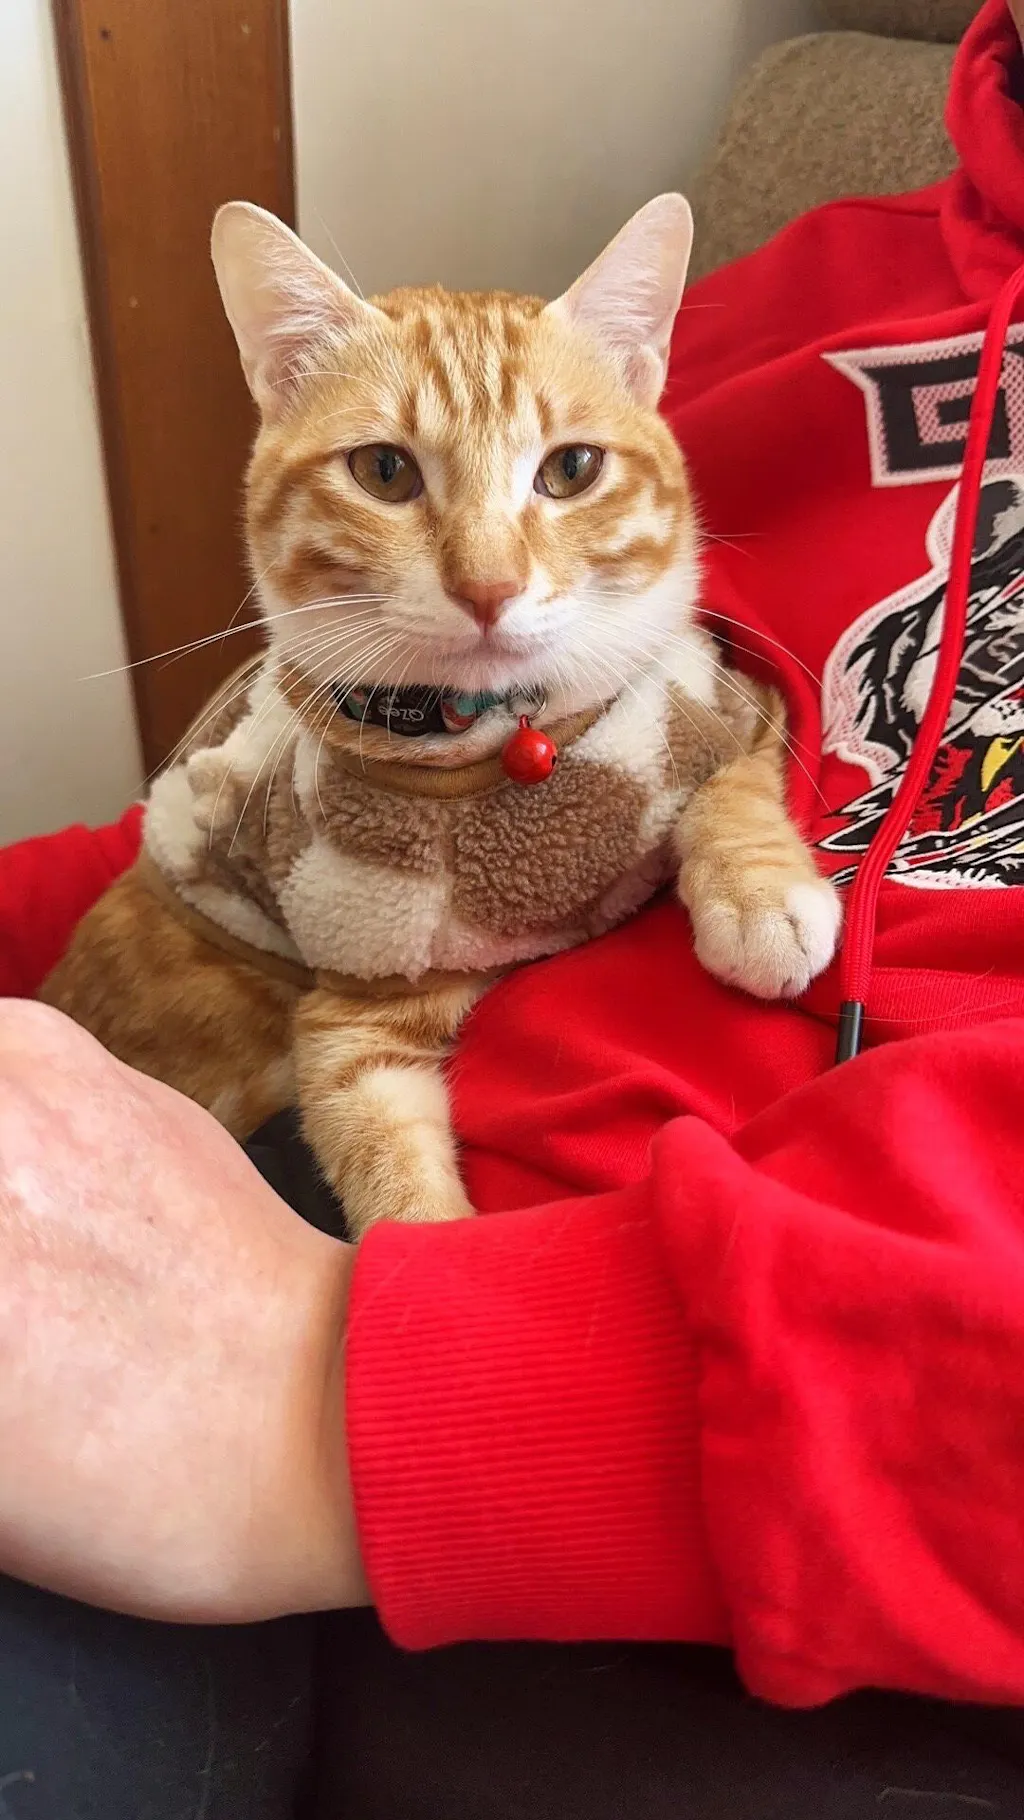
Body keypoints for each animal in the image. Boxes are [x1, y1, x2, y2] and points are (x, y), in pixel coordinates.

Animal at [41, 194, 841, 1238]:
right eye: (384, 470)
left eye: (571, 468)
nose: (489, 587)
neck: (505, 739)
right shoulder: (361, 1004)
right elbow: (393, 1181)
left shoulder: (739, 698)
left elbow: (732, 784)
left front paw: (758, 901)